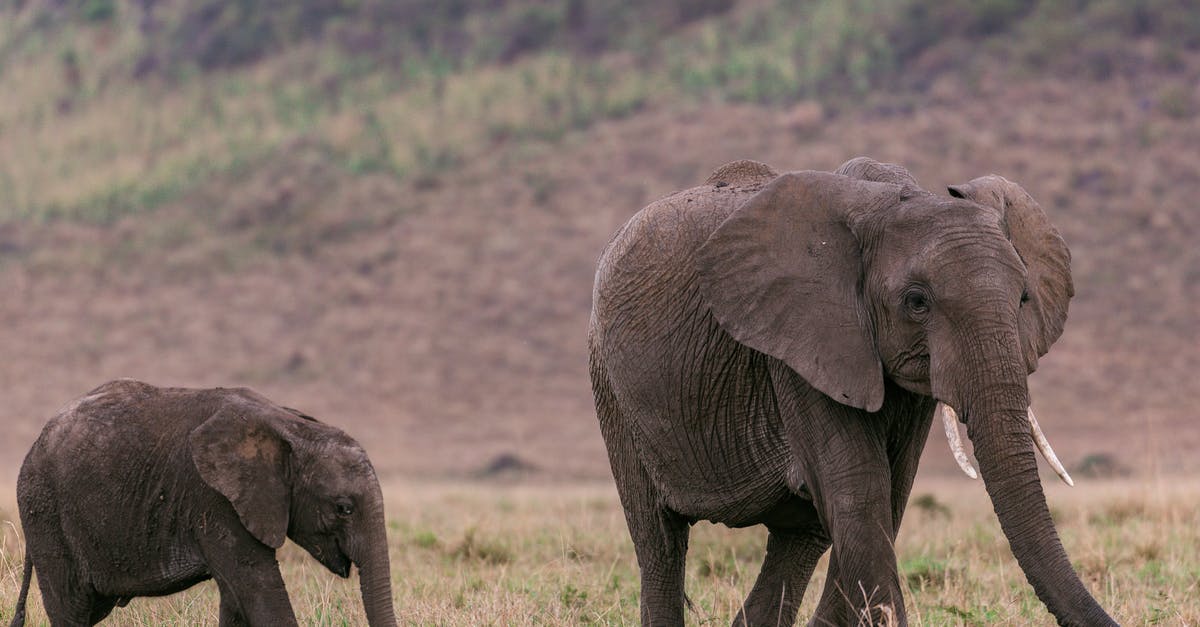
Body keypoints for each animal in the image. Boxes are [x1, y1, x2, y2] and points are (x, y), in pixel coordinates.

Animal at [9, 377, 398, 619]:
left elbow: (236, 599)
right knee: (71, 609)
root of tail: (35, 443)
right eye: (343, 508)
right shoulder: (215, 500)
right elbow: (258, 589)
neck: (292, 427)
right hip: (44, 511)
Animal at [588, 154, 1113, 619]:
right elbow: (861, 493)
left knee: (801, 540)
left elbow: (889, 497)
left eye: (1023, 297)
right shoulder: (800, 345)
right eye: (916, 302)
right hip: (611, 390)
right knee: (659, 544)